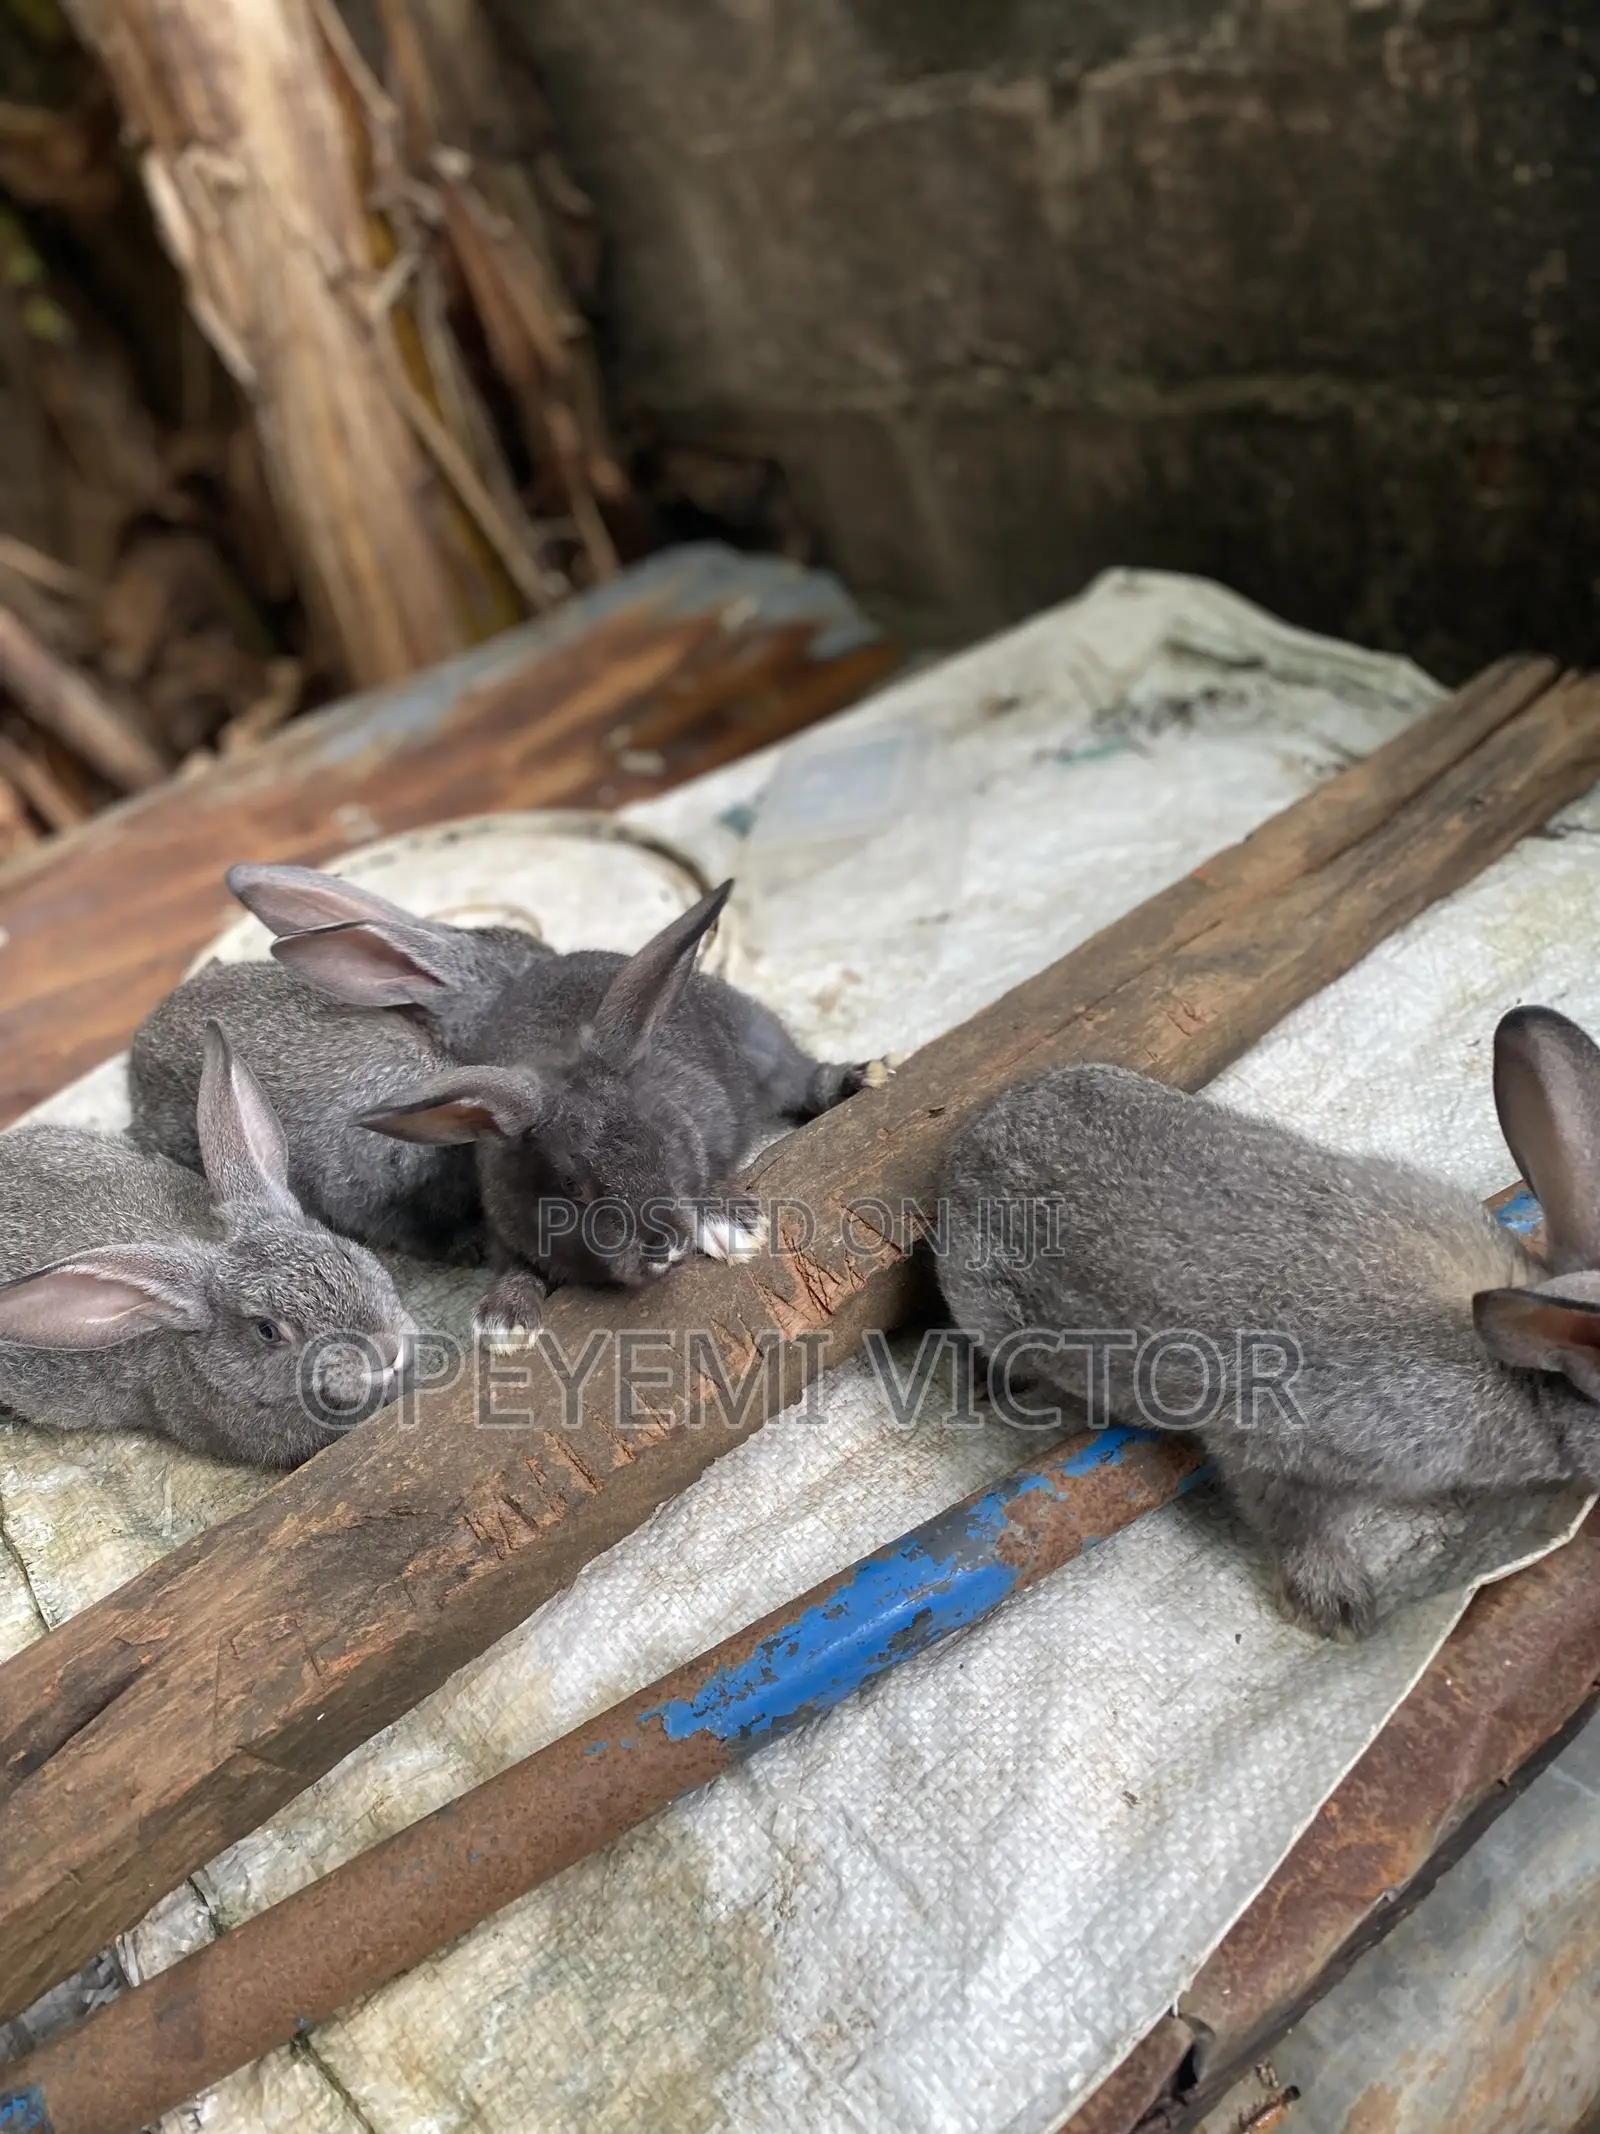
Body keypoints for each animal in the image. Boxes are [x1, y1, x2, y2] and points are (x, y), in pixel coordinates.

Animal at [355, 879, 890, 1346]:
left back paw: (868, 1076)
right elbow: (516, 1268)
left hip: (765, 1049)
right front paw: (504, 1324)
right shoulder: (506, 1227)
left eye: (664, 1141)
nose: (664, 1246)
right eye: (572, 1186)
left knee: (806, 1077)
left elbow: (710, 1173)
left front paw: (733, 1228)